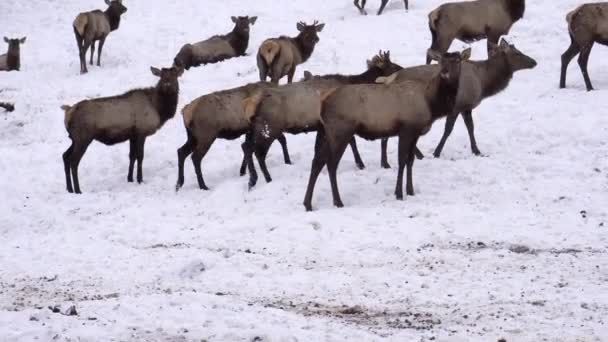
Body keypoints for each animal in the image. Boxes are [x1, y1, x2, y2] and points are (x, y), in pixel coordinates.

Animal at [60, 66, 183, 194]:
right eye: (162, 76)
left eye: (175, 76)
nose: (167, 85)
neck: (158, 110)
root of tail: (68, 112)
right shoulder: (141, 132)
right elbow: (140, 156)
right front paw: (140, 179)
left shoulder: (133, 135)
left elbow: (132, 156)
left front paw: (130, 178)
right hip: (83, 138)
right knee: (74, 161)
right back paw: (78, 190)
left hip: (74, 139)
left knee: (65, 156)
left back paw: (69, 189)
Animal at [242, 50, 404, 188]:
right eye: (392, 65)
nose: (403, 69)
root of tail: (252, 103)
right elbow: (352, 142)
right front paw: (360, 164)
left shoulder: (322, 126)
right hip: (269, 127)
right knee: (257, 152)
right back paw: (265, 178)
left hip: (258, 127)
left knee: (247, 146)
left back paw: (251, 178)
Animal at [380, 38, 536, 162]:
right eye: (517, 53)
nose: (534, 62)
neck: (483, 83)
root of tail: (388, 79)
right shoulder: (456, 106)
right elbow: (448, 130)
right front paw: (437, 152)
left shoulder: (466, 107)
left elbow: (471, 127)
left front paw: (477, 151)